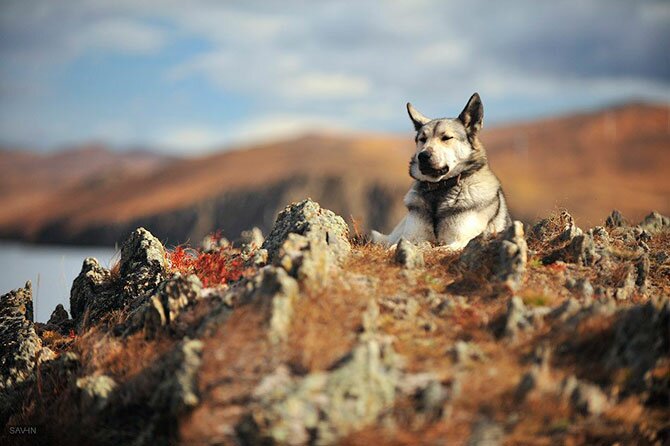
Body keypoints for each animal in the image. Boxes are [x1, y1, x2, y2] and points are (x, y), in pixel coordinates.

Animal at [372, 92, 516, 249]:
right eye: (422, 139)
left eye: (446, 138)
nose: (423, 156)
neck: (439, 188)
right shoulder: (409, 237)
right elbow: (395, 248)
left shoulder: (459, 241)